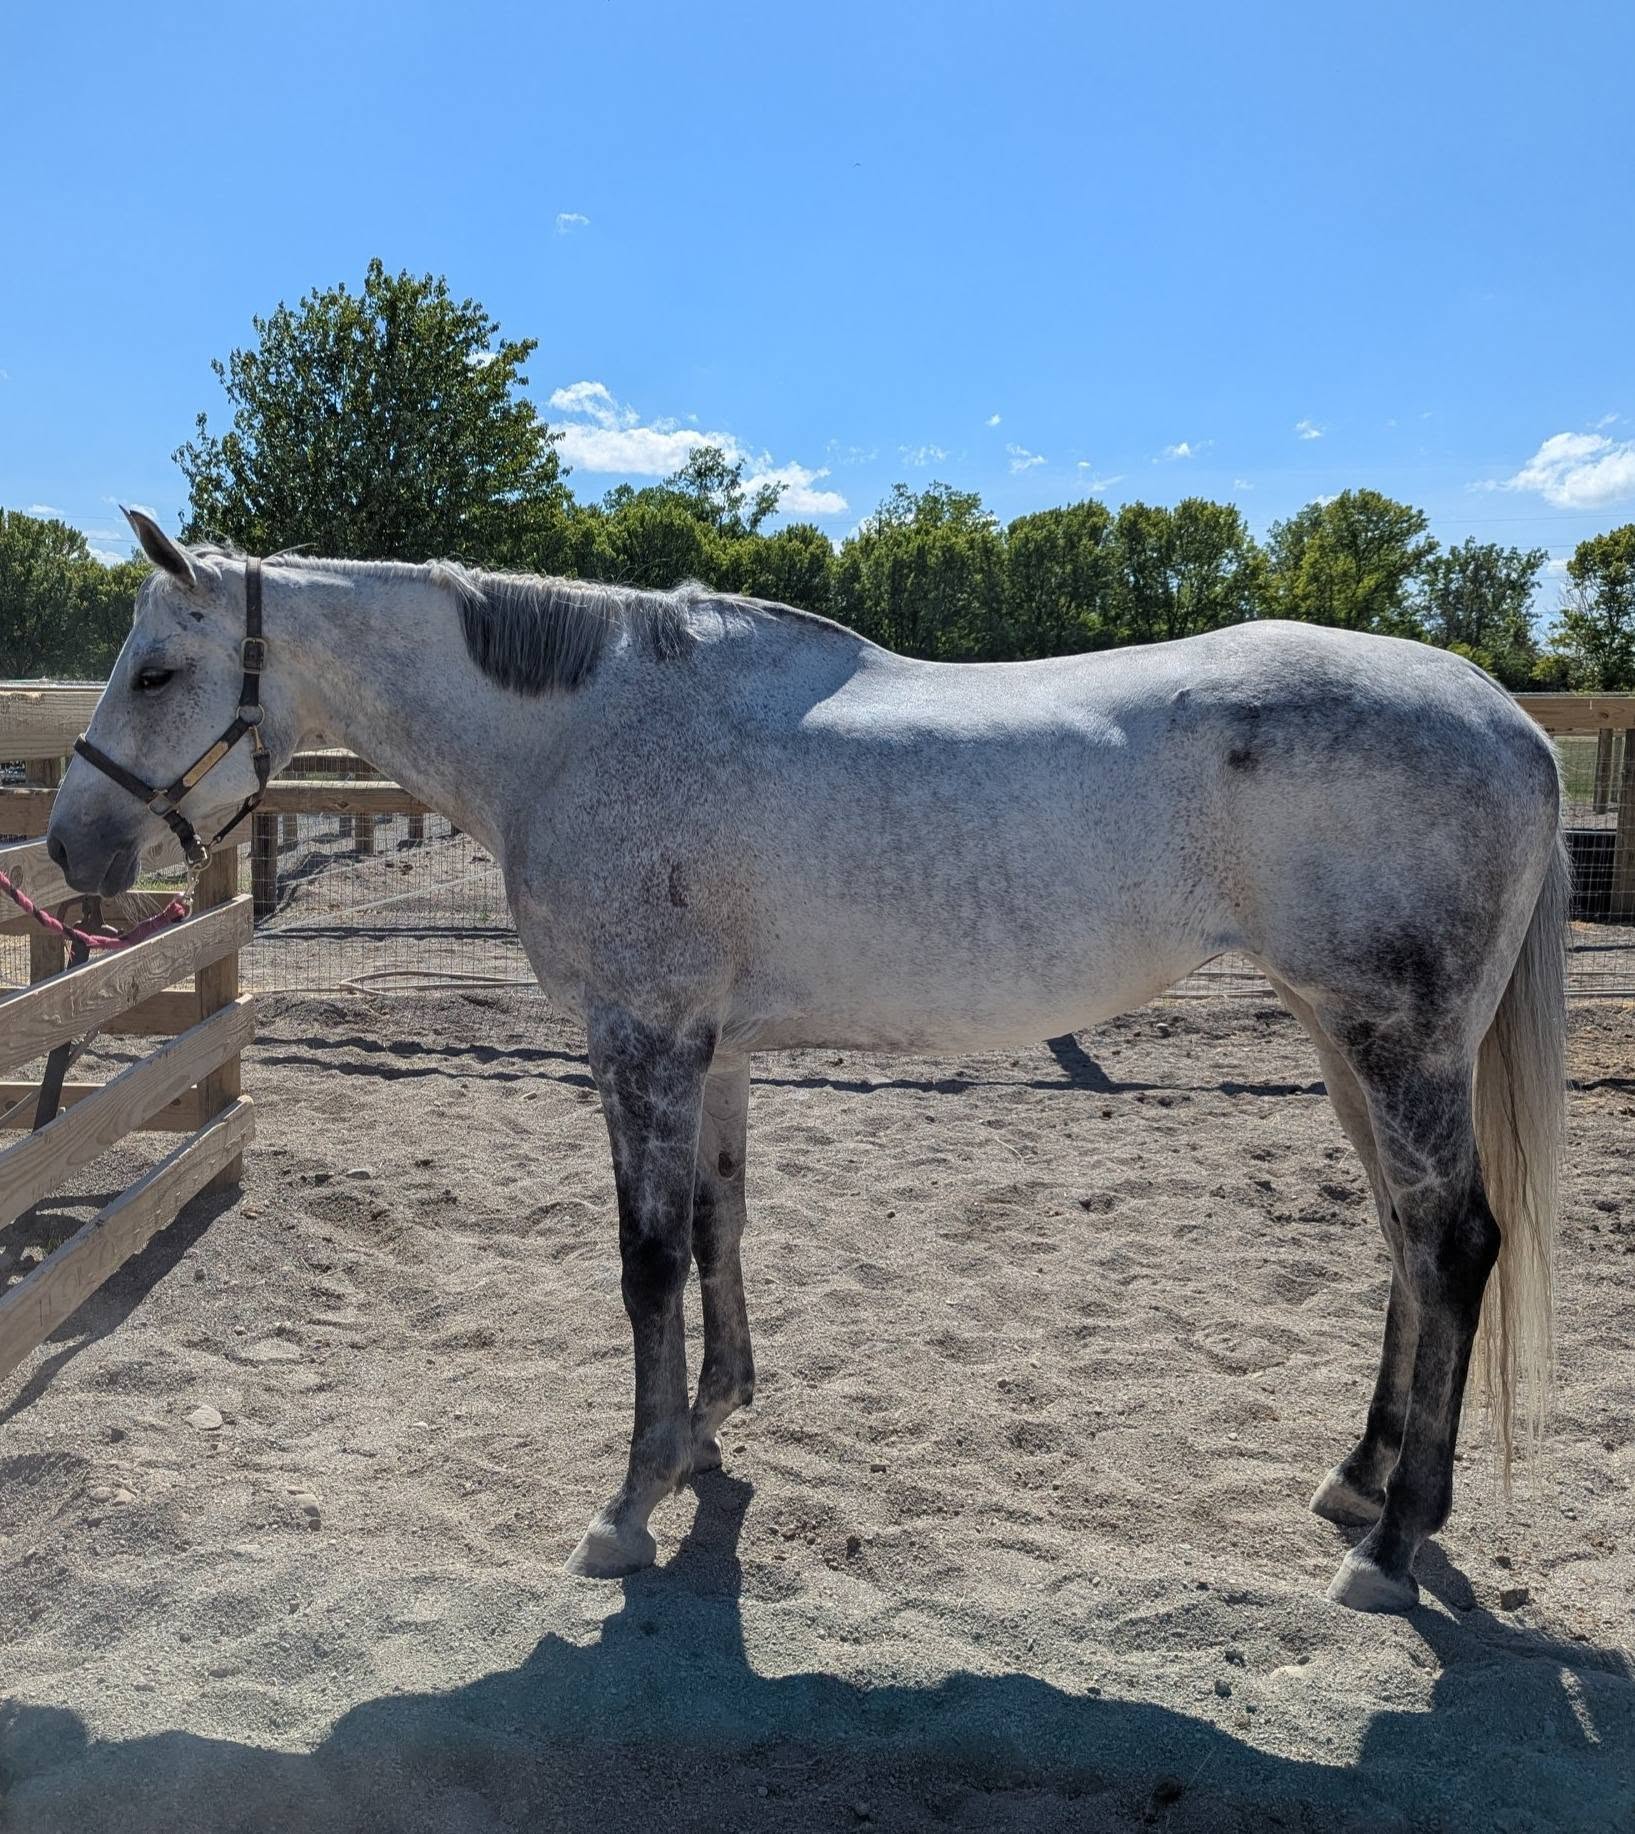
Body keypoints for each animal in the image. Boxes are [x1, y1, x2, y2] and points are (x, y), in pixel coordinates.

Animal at [45, 509, 1567, 1614]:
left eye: (158, 671)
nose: (71, 849)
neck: (584, 729)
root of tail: (1506, 718)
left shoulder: (640, 1035)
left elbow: (645, 1260)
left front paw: (627, 1500)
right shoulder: (712, 1050)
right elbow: (721, 1225)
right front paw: (705, 1430)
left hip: (1389, 1039)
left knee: (1451, 1245)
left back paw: (1389, 1545)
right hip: (1341, 1038)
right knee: (1403, 1239)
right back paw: (1356, 1479)